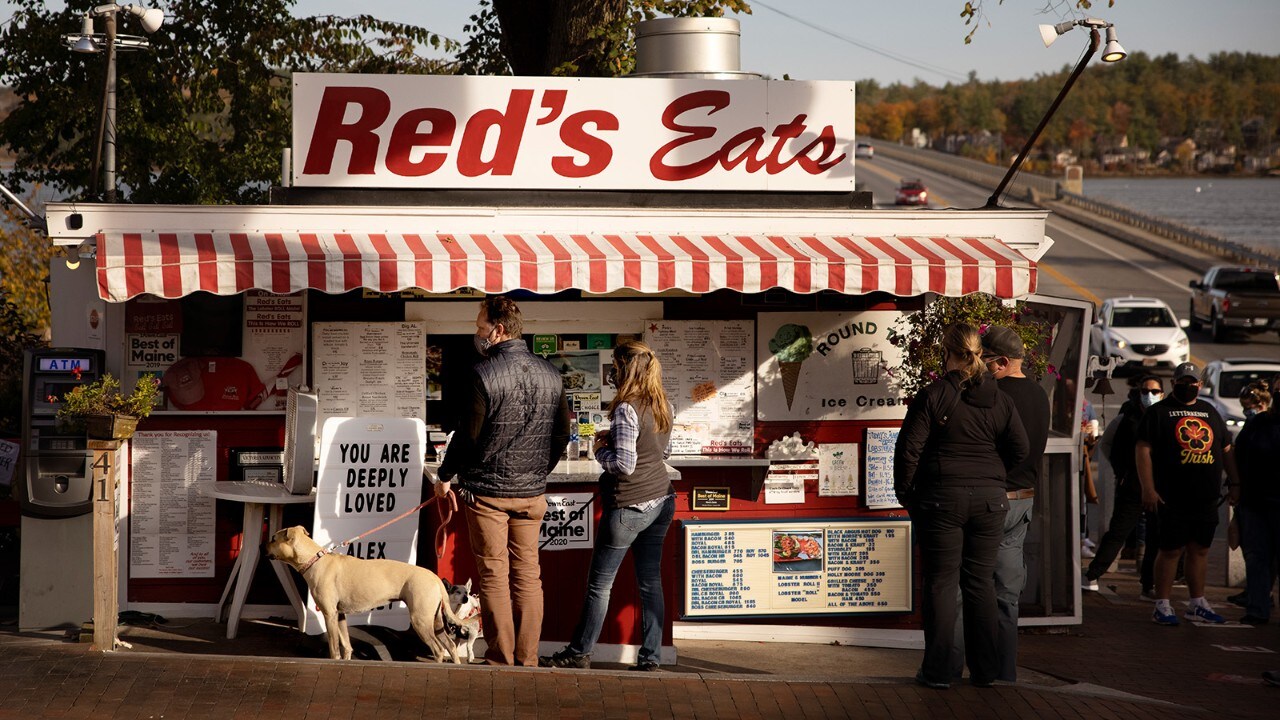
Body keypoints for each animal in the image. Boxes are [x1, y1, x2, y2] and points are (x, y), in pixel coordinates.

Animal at [263, 525, 460, 661]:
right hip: (435, 620)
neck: (314, 560)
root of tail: (435, 577)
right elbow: (347, 646)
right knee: (450, 645)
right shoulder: (340, 615)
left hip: (421, 620)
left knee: (438, 649)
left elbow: (334, 648)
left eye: (273, 538)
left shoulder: (329, 614)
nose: (261, 545)